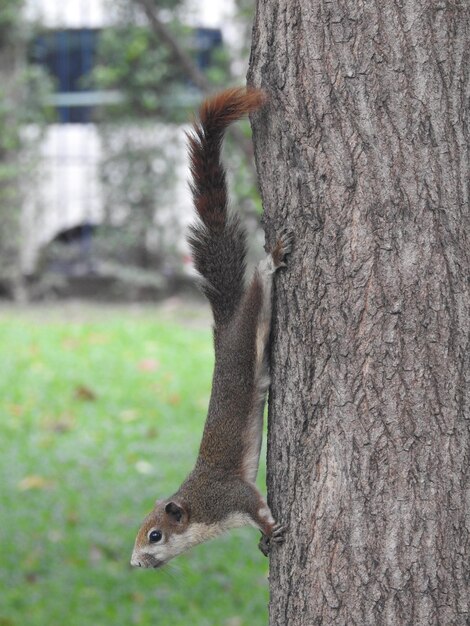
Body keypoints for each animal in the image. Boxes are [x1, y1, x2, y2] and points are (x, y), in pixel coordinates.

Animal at [130, 85, 292, 568]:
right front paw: (263, 542)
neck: (200, 507)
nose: (135, 562)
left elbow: (257, 506)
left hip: (248, 329)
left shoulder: (232, 496)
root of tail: (225, 324)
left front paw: (270, 531)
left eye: (156, 535)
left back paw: (272, 260)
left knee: (259, 288)